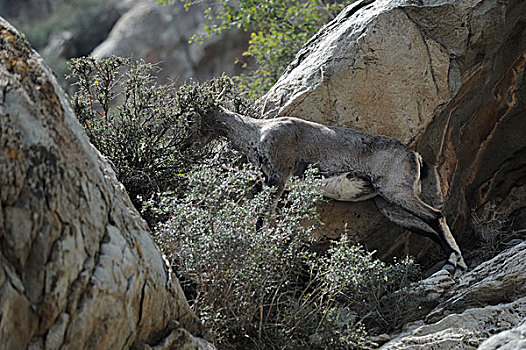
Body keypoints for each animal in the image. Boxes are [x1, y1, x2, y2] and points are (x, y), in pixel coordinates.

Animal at [184, 106, 468, 274]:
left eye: (192, 119)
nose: (186, 145)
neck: (258, 132)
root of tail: (414, 156)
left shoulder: (278, 178)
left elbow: (262, 220)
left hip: (397, 192)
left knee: (435, 216)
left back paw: (453, 262)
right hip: (389, 206)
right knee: (429, 226)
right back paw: (458, 262)